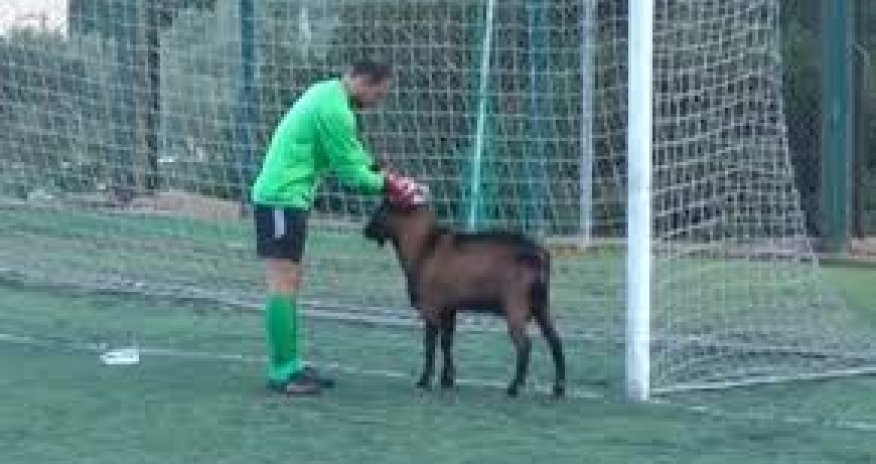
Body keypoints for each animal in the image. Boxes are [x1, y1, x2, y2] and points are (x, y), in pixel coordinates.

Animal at [363, 200, 566, 397]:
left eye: (383, 208)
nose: (366, 230)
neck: (424, 245)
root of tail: (540, 256)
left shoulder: (431, 308)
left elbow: (430, 346)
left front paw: (424, 381)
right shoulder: (449, 309)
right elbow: (447, 342)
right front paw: (447, 380)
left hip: (515, 307)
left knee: (524, 345)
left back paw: (514, 387)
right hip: (541, 305)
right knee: (555, 340)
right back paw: (558, 388)